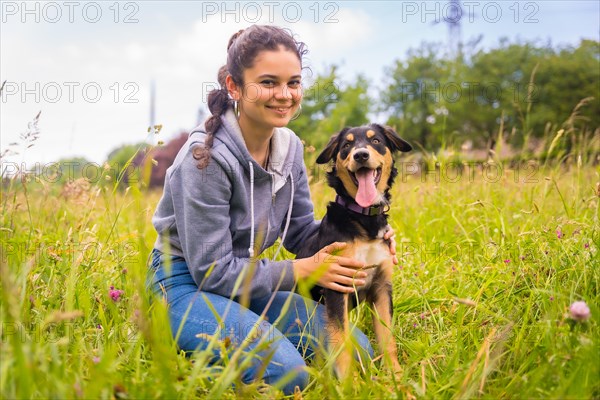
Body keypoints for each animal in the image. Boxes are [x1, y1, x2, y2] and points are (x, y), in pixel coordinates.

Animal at [298, 124, 410, 378]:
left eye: (376, 140)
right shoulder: (337, 286)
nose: (360, 155)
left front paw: (396, 376)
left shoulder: (381, 287)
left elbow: (387, 338)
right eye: (347, 145)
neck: (362, 217)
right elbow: (340, 341)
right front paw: (351, 382)